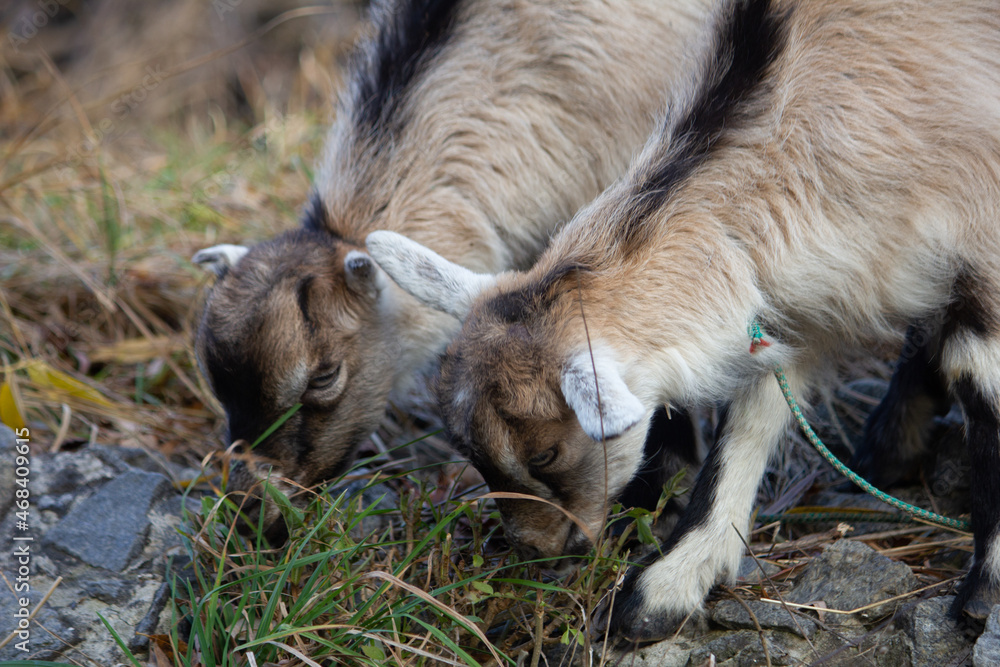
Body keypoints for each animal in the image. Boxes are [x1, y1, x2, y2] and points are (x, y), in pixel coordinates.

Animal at [367, 0, 1000, 641]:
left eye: (544, 455)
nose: (532, 551)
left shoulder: (982, 229)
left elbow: (983, 381)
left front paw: (984, 594)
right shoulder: (803, 294)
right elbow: (753, 414)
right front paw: (671, 585)